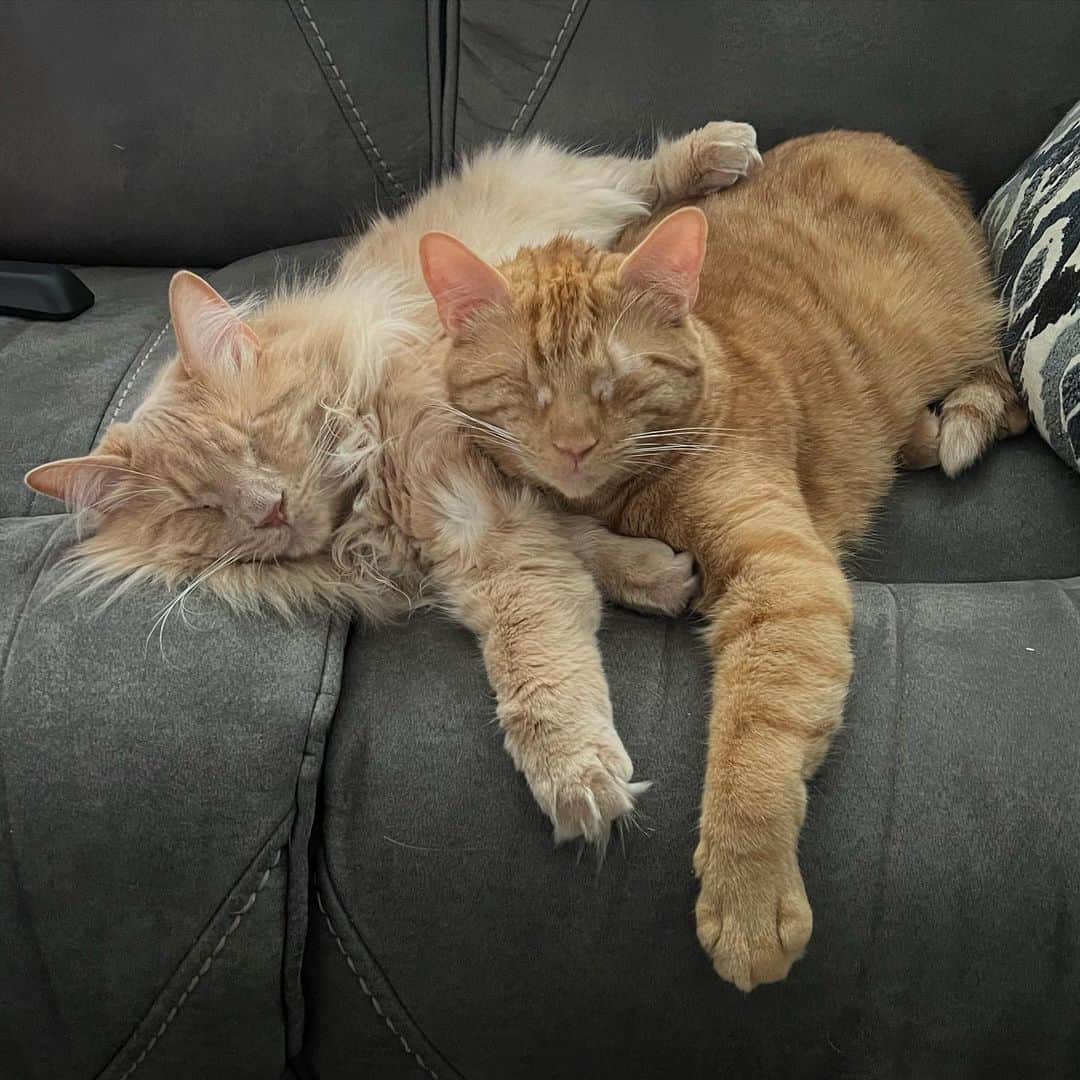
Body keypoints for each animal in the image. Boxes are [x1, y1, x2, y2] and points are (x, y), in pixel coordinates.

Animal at [25, 124, 760, 842]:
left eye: (255, 436)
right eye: (200, 508)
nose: (270, 510)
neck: (366, 496)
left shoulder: (480, 520)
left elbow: (537, 646)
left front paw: (575, 772)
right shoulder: (491, 523)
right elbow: (575, 556)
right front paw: (657, 574)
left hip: (581, 187)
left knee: (640, 172)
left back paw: (722, 151)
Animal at [419, 130, 1028, 989]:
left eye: (618, 380)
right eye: (521, 385)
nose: (573, 446)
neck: (619, 496)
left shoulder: (784, 574)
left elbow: (756, 738)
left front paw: (747, 892)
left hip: (969, 341)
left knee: (1000, 406)